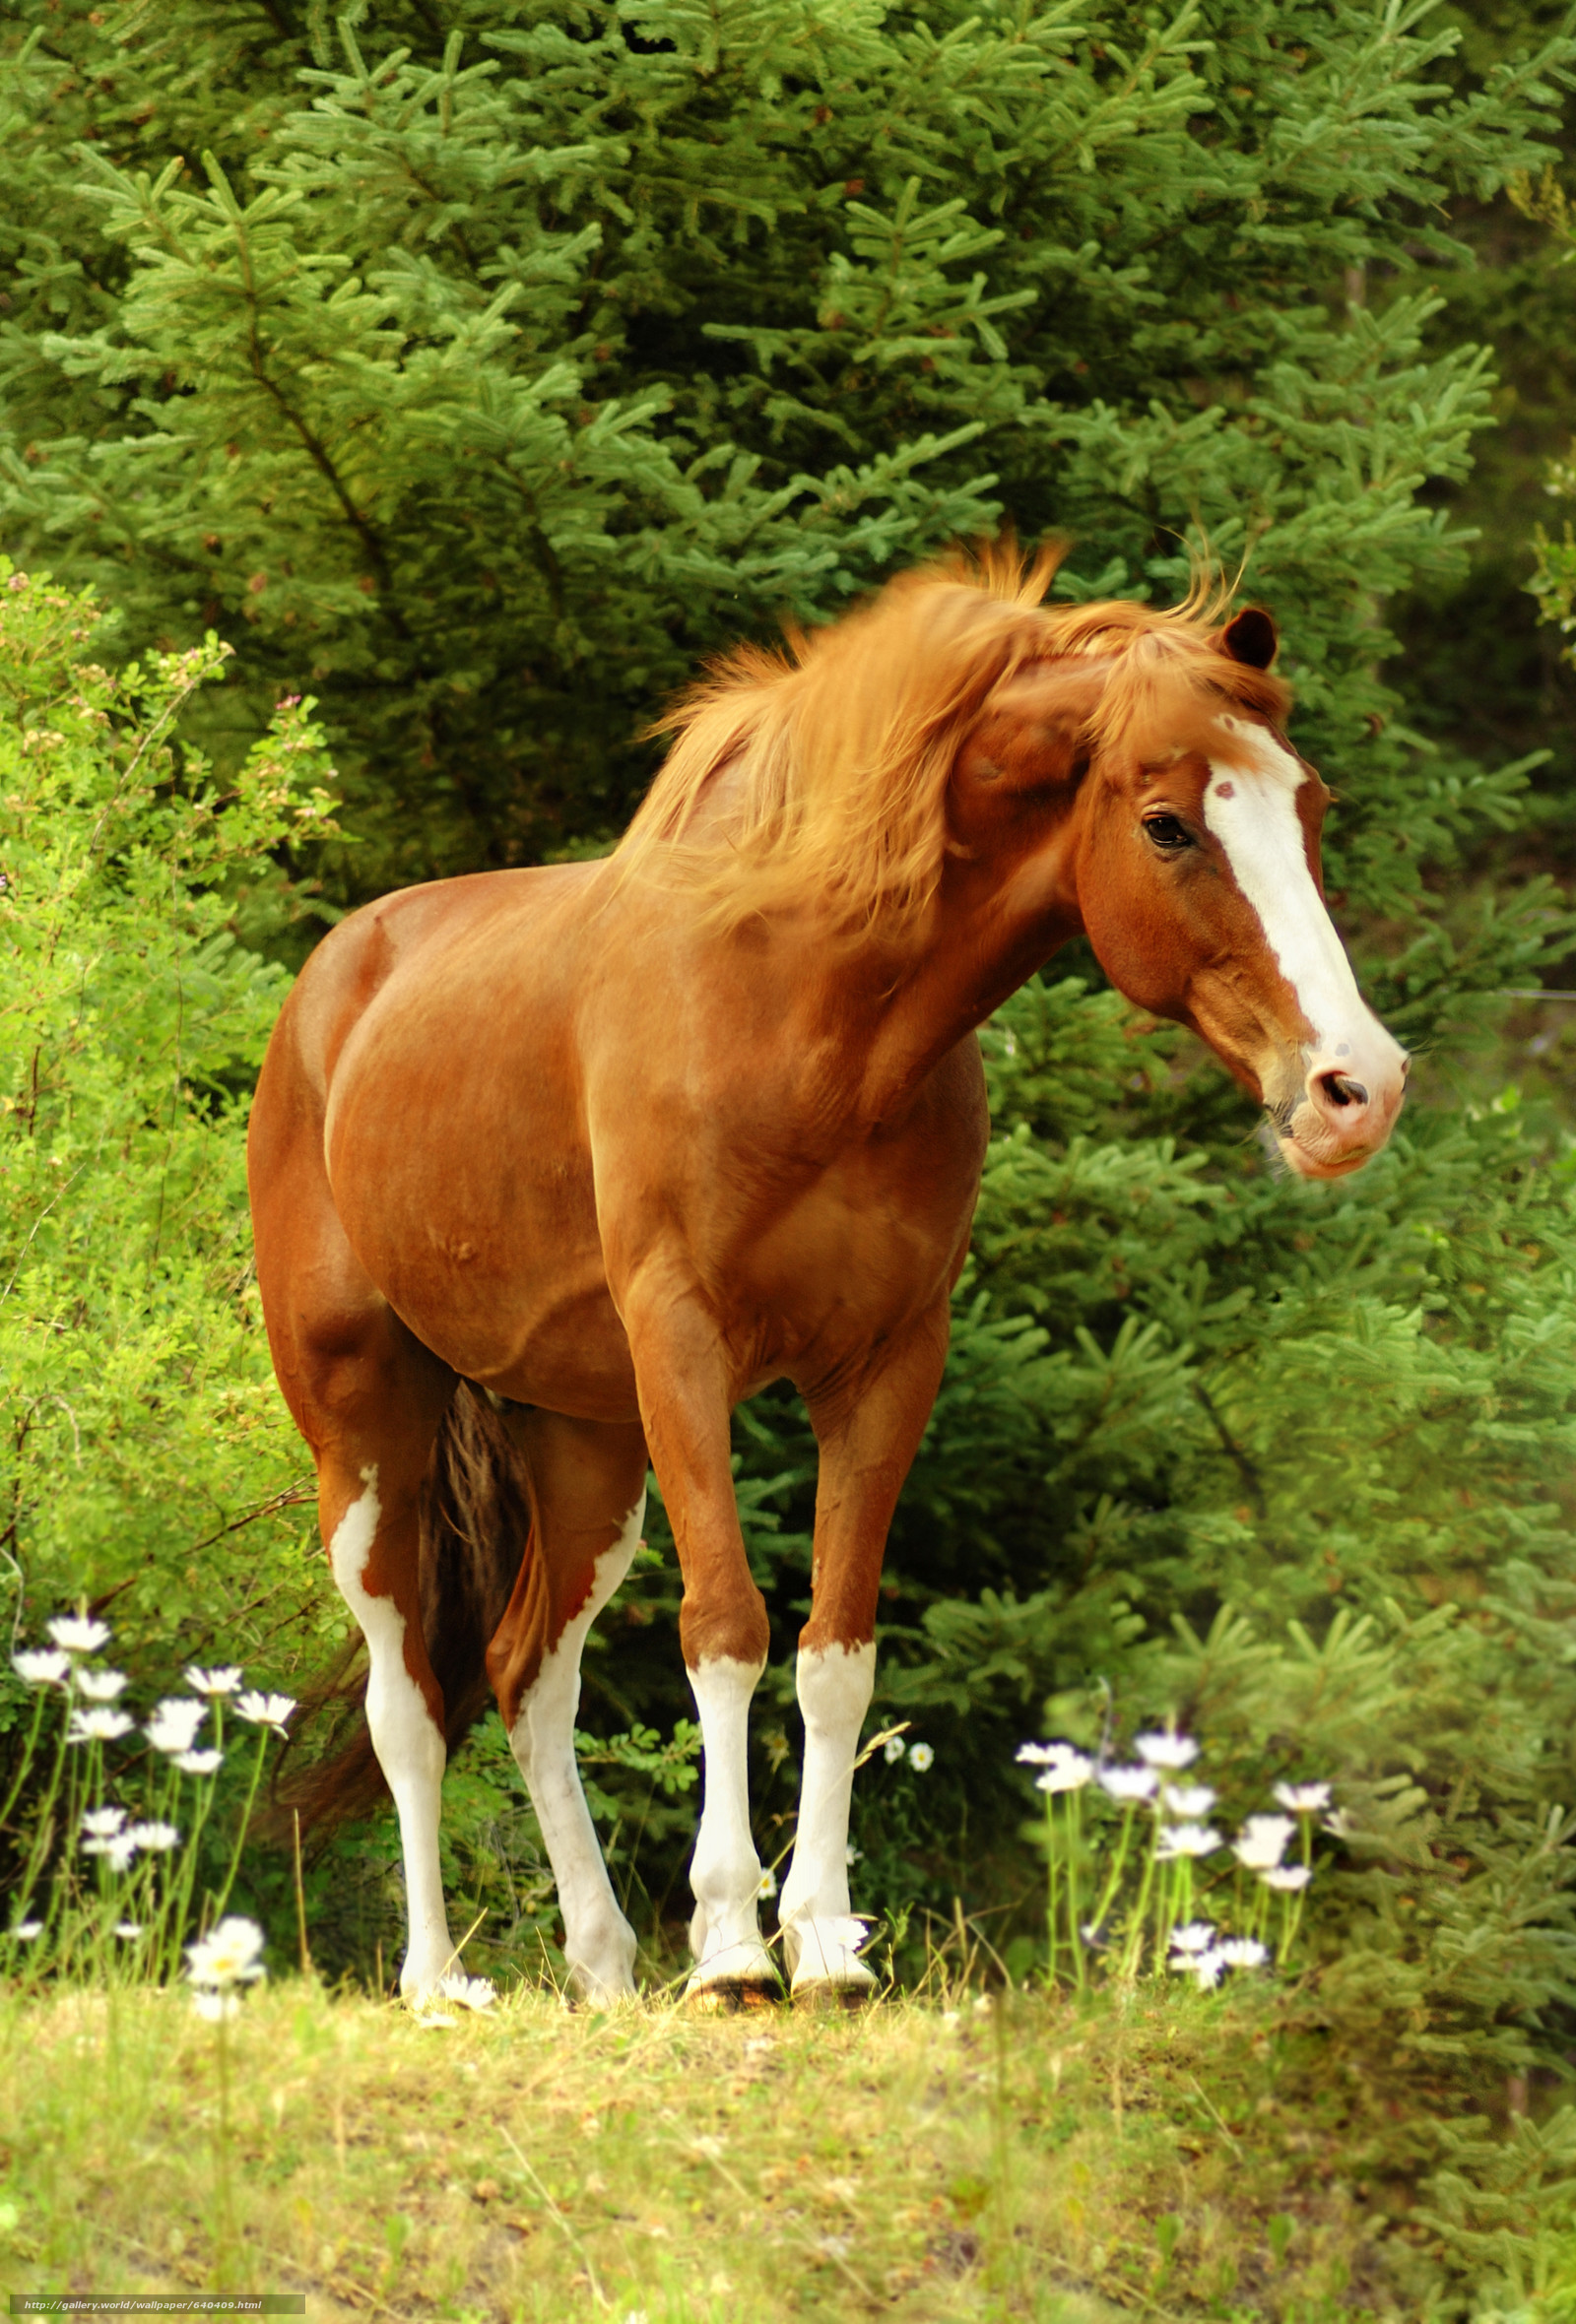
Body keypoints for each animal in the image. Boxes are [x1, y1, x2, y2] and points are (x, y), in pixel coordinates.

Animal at [248, 547, 1408, 2008]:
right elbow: (727, 1626)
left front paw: (825, 1945)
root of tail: (330, 989)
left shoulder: (887, 1359)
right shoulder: (684, 1339)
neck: (810, 1013)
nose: (1356, 1087)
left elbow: (836, 1652)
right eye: (1166, 825)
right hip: (366, 1424)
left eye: (1308, 804)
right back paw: (435, 1978)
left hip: (582, 1441)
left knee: (524, 1675)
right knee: (407, 1698)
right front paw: (734, 1946)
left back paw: (606, 1971)